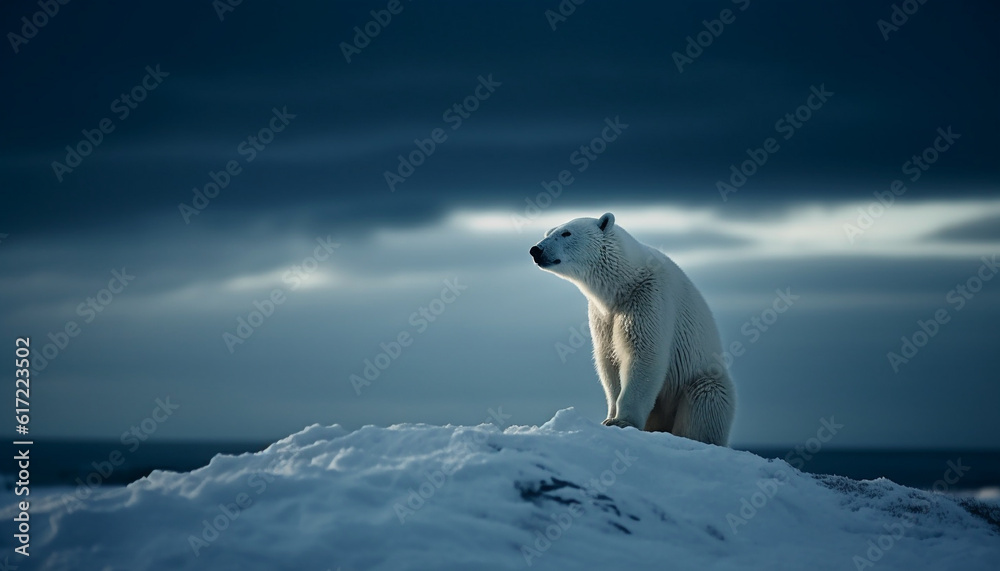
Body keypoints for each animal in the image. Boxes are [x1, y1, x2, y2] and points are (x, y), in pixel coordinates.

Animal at [532, 213, 736, 446]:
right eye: (548, 232)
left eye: (566, 233)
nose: (536, 250)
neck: (625, 282)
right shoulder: (603, 315)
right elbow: (608, 359)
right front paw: (609, 416)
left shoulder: (648, 298)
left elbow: (643, 354)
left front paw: (621, 421)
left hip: (701, 380)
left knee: (704, 403)